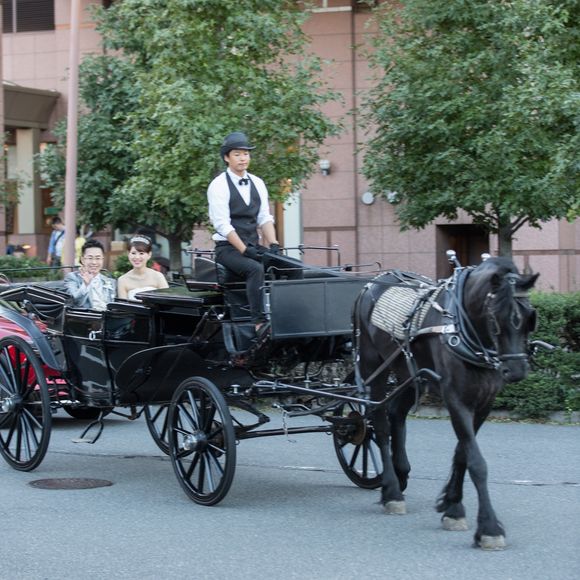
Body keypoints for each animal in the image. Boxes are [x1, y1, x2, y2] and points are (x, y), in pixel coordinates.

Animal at [354, 256, 539, 550]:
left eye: (530, 318)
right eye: (495, 318)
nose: (517, 371)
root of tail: (372, 283)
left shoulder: (484, 402)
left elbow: (462, 453)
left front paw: (452, 505)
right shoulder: (455, 398)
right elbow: (477, 462)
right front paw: (488, 527)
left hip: (409, 373)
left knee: (396, 414)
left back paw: (401, 472)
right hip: (374, 366)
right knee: (379, 423)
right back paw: (392, 491)